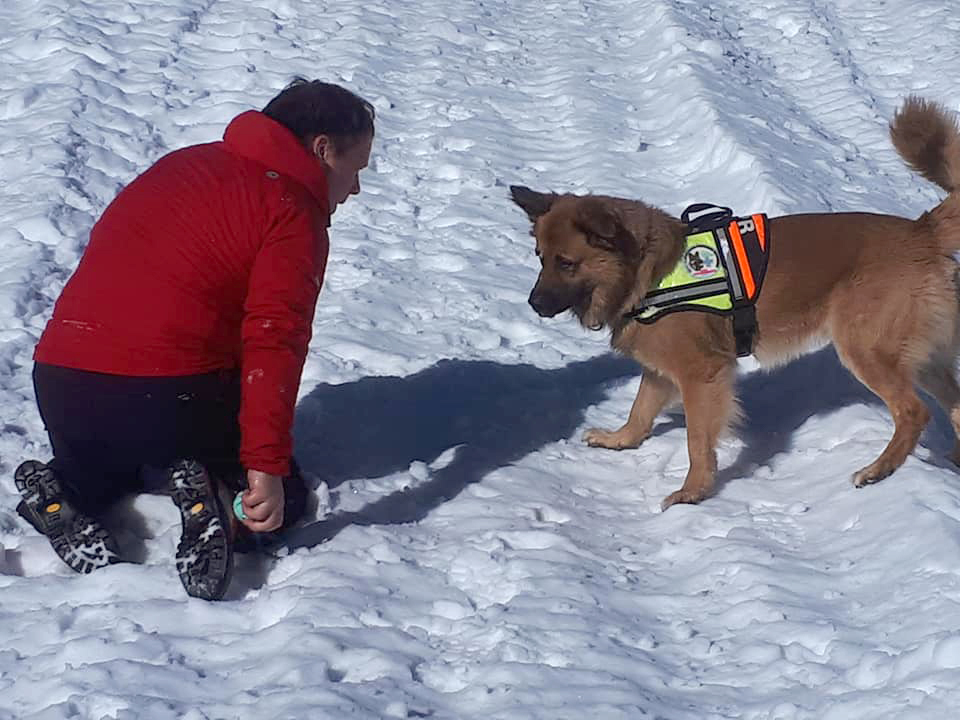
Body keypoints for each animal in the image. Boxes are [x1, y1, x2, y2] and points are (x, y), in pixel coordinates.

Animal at [510, 96, 960, 509]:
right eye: (540, 258)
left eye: (566, 263)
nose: (533, 304)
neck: (648, 270)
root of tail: (922, 231)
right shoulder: (660, 371)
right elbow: (639, 411)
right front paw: (619, 440)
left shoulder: (701, 374)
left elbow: (696, 440)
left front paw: (693, 492)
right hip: (921, 358)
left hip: (866, 349)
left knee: (913, 412)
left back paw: (878, 469)